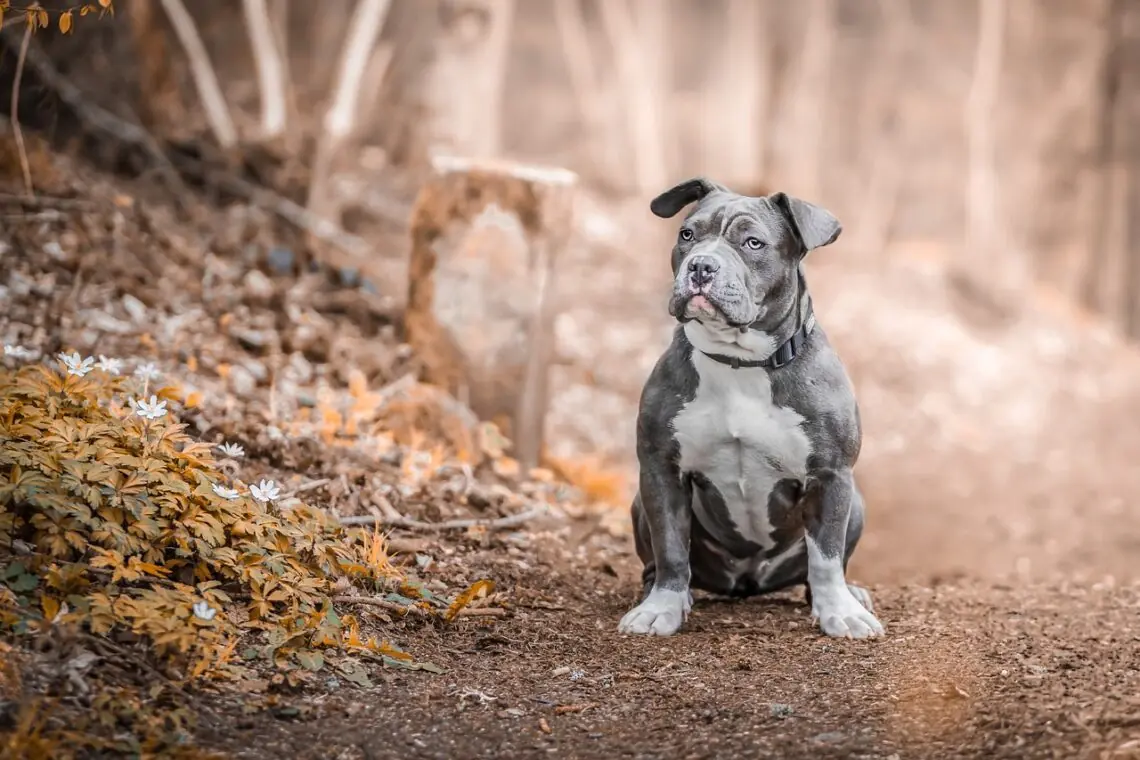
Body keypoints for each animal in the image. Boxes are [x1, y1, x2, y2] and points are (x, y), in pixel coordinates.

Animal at [620, 178, 884, 642]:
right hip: (639, 502)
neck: (740, 362)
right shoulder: (660, 467)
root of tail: (747, 581)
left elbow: (826, 555)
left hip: (857, 504)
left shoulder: (831, 475)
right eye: (687, 235)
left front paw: (839, 612)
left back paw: (844, 596)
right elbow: (671, 548)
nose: (701, 266)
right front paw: (661, 608)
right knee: (659, 564)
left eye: (753, 243)